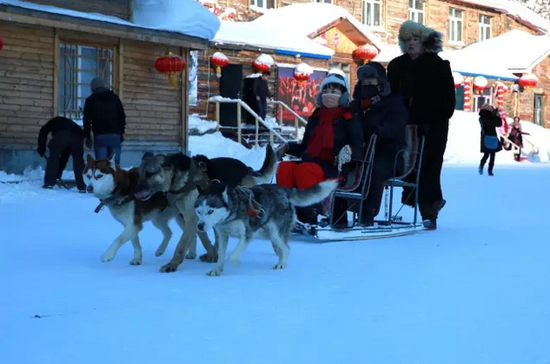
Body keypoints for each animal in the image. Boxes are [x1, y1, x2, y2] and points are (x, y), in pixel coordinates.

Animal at [133, 145, 278, 272]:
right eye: (139, 174)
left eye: (150, 173)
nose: (134, 192)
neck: (179, 180)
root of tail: (247, 168)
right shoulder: (186, 218)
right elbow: (202, 238)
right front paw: (212, 255)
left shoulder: (192, 219)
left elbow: (181, 245)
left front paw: (172, 264)